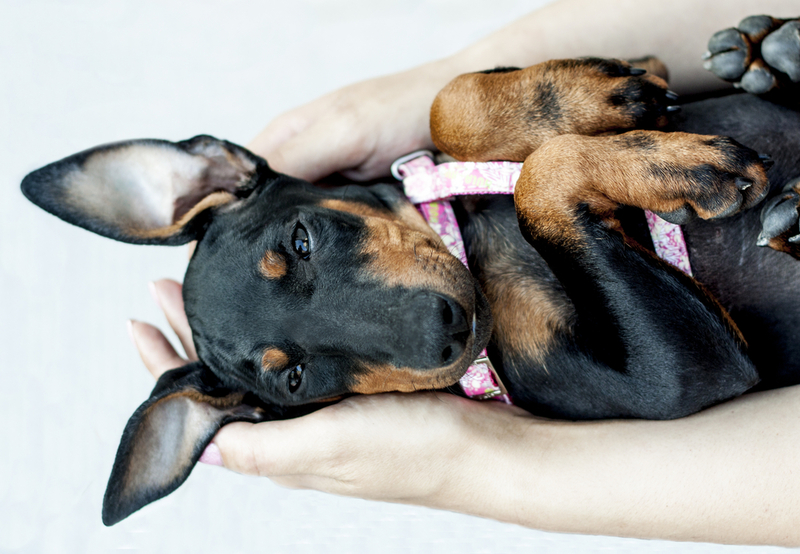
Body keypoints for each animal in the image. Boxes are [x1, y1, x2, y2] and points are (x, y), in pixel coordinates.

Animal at [18, 17, 800, 524]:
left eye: (300, 240)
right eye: (295, 378)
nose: (445, 328)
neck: (470, 243)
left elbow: (448, 104)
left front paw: (599, 97)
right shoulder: (679, 374)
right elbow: (536, 183)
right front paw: (681, 172)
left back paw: (769, 54)